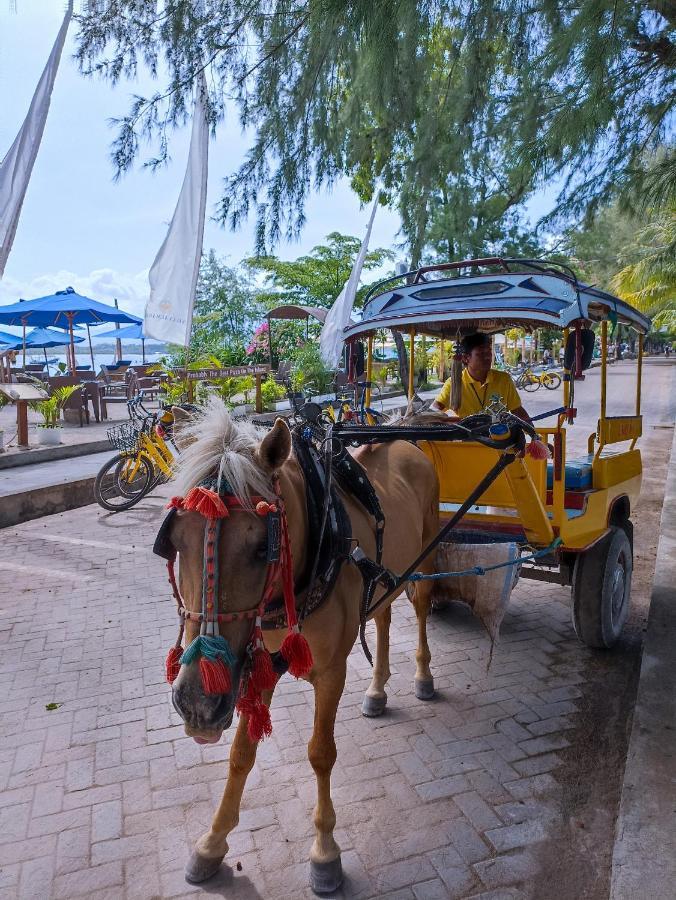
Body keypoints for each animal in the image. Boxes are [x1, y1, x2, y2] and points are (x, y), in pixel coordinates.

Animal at [161, 402, 440, 892]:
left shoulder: (330, 672)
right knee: (383, 615)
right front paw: (213, 841)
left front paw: (325, 851)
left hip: (423, 554)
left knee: (421, 607)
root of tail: (404, 434)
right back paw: (378, 689)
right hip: (386, 576)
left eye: (261, 547)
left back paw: (423, 676)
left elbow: (320, 753)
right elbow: (241, 753)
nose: (197, 702)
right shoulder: (257, 665)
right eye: (175, 541)